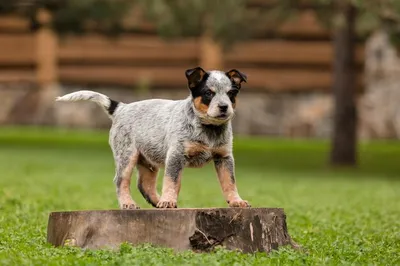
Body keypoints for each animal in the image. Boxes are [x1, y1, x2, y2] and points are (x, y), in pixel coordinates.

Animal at [56, 67, 250, 210]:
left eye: (231, 94)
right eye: (209, 93)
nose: (224, 107)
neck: (208, 129)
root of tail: (121, 108)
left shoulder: (224, 157)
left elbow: (230, 182)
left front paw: (236, 201)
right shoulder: (176, 155)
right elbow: (172, 181)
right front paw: (169, 199)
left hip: (148, 160)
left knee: (144, 184)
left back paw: (158, 201)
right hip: (126, 155)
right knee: (120, 180)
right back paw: (129, 203)